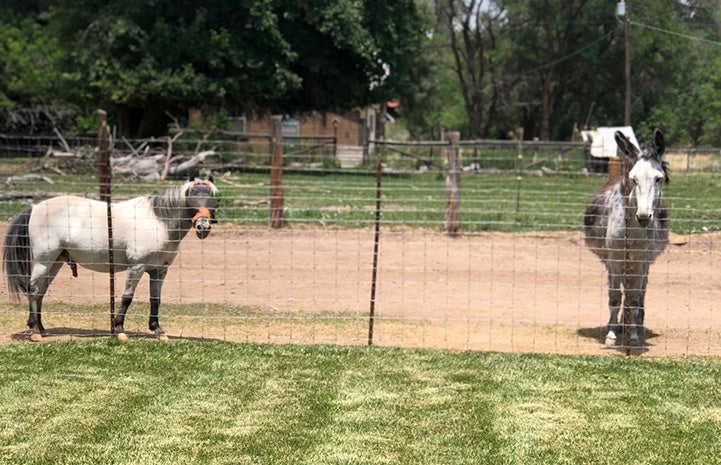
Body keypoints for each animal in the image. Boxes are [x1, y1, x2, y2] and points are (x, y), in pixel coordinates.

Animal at [3, 178, 217, 340]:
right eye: (191, 199)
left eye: (213, 200)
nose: (203, 227)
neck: (158, 222)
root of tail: (34, 207)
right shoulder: (137, 267)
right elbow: (126, 297)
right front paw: (120, 330)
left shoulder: (159, 270)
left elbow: (155, 299)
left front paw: (158, 330)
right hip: (44, 261)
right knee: (32, 289)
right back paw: (34, 331)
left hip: (55, 262)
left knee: (40, 292)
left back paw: (41, 328)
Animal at [584, 130, 668, 344]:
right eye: (633, 179)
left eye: (658, 178)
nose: (644, 217)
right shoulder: (614, 258)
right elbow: (615, 296)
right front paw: (612, 335)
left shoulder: (642, 260)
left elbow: (636, 297)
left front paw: (635, 335)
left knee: (637, 293)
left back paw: (632, 324)